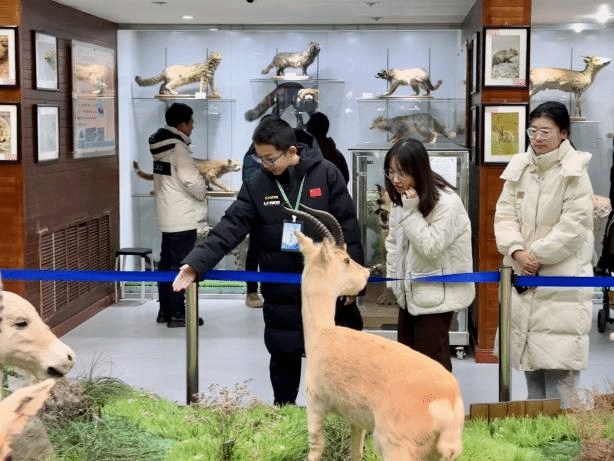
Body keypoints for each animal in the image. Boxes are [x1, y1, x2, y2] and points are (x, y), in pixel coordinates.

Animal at [286, 205, 465, 461]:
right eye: (346, 259)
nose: (366, 274)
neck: (323, 334)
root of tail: (447, 399)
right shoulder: (356, 421)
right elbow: (356, 452)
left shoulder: (316, 405)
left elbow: (315, 450)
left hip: (395, 449)